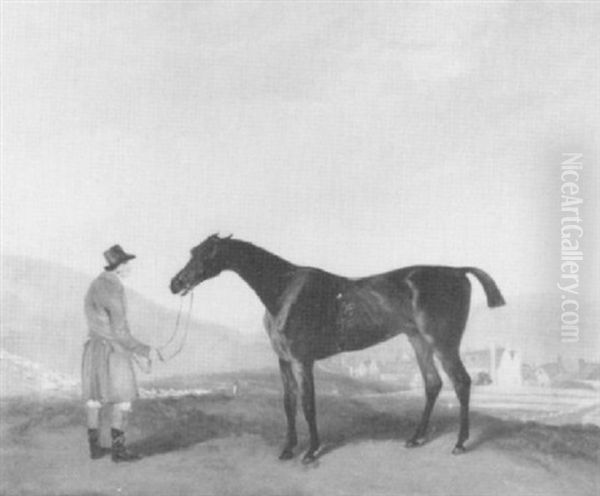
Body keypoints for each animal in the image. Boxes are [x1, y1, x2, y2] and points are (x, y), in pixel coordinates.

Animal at [170, 234, 506, 464]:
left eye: (205, 255)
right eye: (192, 252)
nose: (175, 283)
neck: (282, 292)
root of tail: (458, 271)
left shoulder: (302, 360)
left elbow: (308, 403)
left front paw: (311, 451)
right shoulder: (283, 361)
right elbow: (288, 403)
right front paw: (288, 449)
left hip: (442, 342)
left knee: (461, 383)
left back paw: (460, 443)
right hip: (417, 340)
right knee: (433, 384)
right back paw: (416, 438)